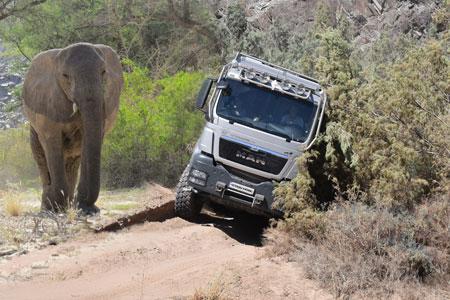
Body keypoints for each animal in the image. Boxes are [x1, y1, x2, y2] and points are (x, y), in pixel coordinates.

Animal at [22, 42, 123, 213]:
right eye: (65, 76)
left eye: (103, 72)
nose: (86, 203)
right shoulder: (49, 102)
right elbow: (52, 142)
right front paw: (56, 206)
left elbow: (89, 138)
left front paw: (84, 207)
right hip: (33, 132)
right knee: (41, 157)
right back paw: (49, 206)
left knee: (72, 163)